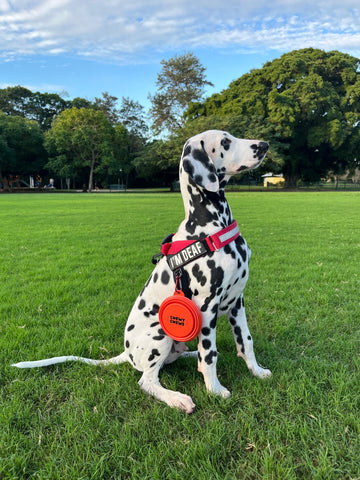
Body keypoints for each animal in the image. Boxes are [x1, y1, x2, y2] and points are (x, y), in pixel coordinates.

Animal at [11, 130, 270, 412]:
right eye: (225, 142)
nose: (264, 145)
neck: (210, 226)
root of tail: (127, 353)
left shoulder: (237, 301)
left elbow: (246, 341)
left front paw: (256, 371)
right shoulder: (206, 306)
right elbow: (209, 354)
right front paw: (214, 390)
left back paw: (192, 358)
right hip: (161, 333)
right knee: (147, 380)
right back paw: (177, 398)